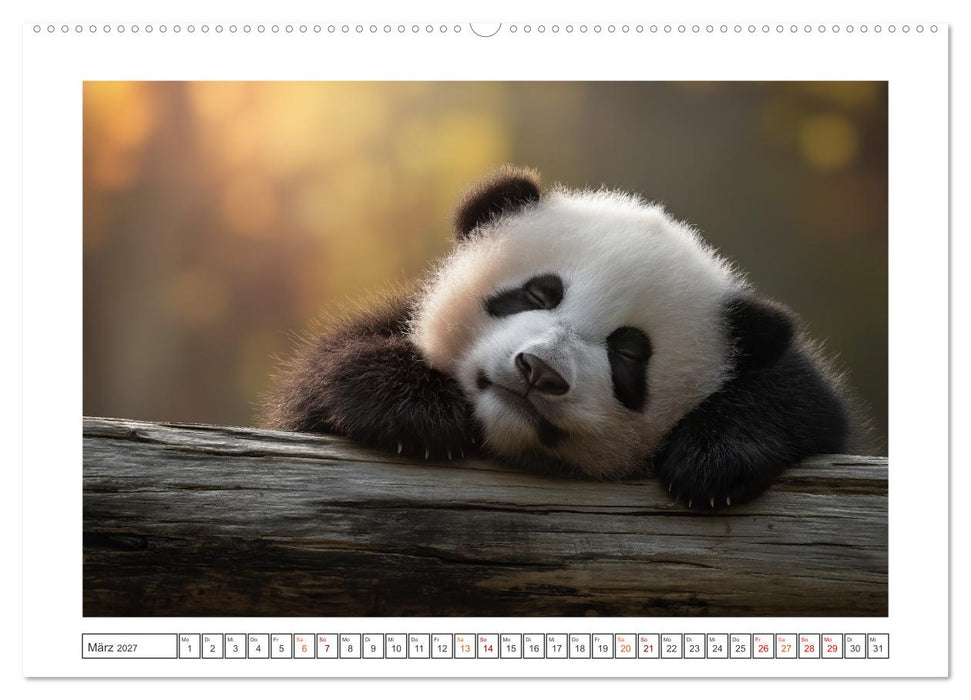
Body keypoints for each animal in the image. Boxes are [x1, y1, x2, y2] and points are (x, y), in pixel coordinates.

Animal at [262, 166, 857, 509]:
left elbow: (798, 402)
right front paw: (418, 411)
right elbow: (327, 372)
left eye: (628, 353)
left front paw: (710, 461)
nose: (540, 371)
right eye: (538, 294)